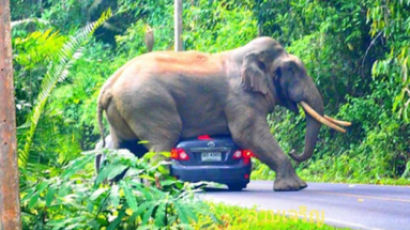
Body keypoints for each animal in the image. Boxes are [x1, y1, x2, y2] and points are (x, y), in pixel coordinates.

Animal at [97, 36, 350, 190]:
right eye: (293, 69)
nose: (294, 151)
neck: (245, 54)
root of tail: (108, 86)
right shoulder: (240, 98)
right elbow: (247, 135)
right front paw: (295, 187)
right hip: (148, 105)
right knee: (162, 142)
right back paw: (165, 190)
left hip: (123, 112)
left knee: (123, 147)